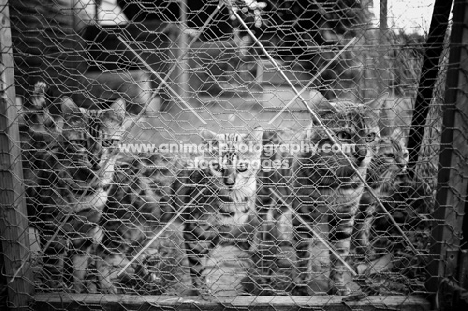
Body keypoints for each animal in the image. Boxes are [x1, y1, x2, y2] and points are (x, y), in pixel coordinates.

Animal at [29, 94, 128, 292]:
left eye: (107, 142)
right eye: (80, 143)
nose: (95, 159)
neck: (86, 189)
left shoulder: (85, 230)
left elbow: (79, 268)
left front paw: (78, 291)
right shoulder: (51, 226)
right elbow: (53, 265)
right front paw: (55, 289)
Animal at [171, 128, 264, 296]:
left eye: (242, 167)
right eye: (218, 167)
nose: (229, 183)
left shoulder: (215, 235)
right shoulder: (194, 233)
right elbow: (196, 267)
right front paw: (201, 292)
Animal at [290, 94, 386, 294]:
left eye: (370, 136)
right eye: (344, 136)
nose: (362, 154)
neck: (333, 181)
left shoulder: (345, 214)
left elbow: (340, 252)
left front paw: (338, 284)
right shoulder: (303, 210)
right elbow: (302, 247)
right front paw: (302, 277)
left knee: (362, 226)